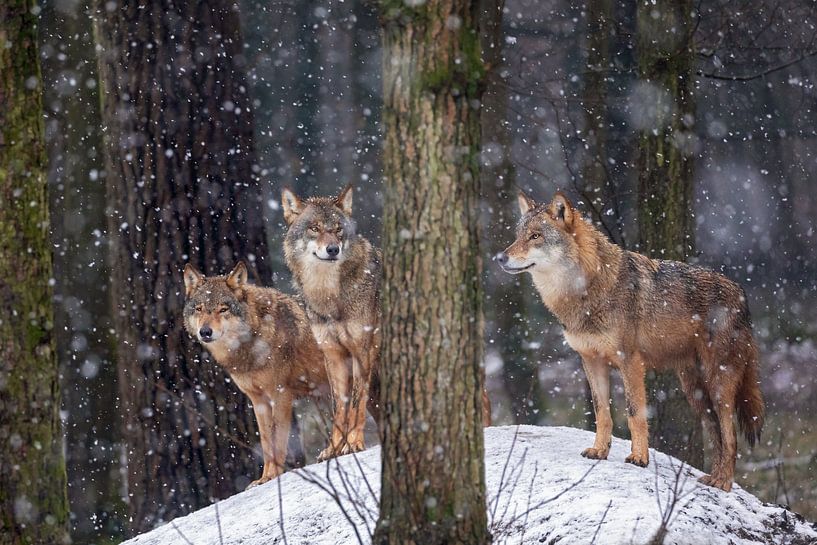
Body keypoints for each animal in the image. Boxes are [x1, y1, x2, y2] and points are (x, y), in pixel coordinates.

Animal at [183, 261, 329, 487]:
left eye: (223, 309)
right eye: (199, 309)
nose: (205, 332)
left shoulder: (280, 395)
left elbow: (278, 441)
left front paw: (275, 475)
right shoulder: (258, 401)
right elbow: (266, 442)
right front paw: (264, 478)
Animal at [281, 185, 382, 460]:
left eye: (338, 229)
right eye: (314, 228)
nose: (333, 249)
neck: (328, 295)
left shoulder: (361, 350)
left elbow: (356, 402)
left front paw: (354, 443)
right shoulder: (333, 355)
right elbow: (339, 406)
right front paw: (334, 448)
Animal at [497, 191, 764, 492]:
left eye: (535, 236)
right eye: (518, 236)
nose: (500, 257)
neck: (585, 290)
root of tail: (742, 294)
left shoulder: (630, 361)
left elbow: (635, 412)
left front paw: (639, 458)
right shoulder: (590, 360)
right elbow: (602, 412)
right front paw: (599, 451)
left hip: (718, 384)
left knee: (731, 437)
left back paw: (724, 483)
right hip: (695, 392)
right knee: (717, 433)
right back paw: (714, 478)